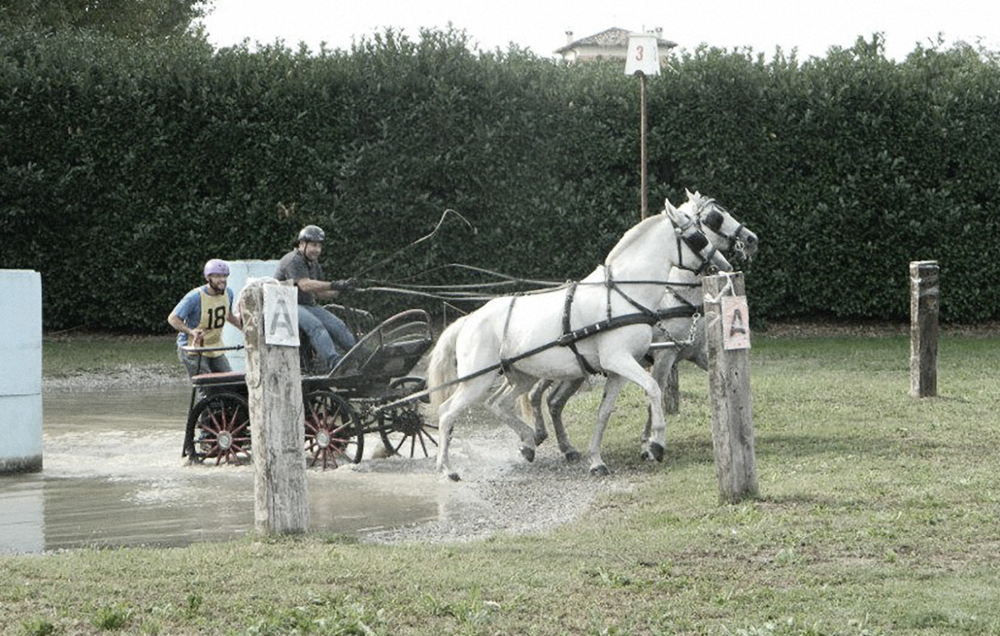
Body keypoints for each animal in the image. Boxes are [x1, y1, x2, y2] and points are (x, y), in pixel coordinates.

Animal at [430, 202, 736, 476]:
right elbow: (653, 389)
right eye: (699, 236)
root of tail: (469, 319)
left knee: (499, 403)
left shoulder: (618, 370)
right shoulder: (624, 359)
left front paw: (596, 461)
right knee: (447, 412)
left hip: (521, 376)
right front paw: (656, 445)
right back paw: (447, 469)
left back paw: (528, 443)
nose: (725, 265)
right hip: (477, 380)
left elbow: (604, 412)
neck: (624, 296)